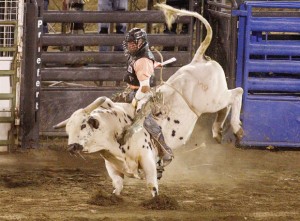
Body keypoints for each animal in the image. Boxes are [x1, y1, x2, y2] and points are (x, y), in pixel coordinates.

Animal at [53, 3, 244, 197]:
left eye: (84, 125)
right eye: (68, 129)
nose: (72, 147)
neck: (114, 128)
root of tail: (198, 60)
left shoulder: (148, 159)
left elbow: (152, 184)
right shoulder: (112, 165)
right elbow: (117, 184)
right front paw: (113, 197)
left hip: (212, 99)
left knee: (237, 92)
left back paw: (236, 129)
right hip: (214, 100)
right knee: (226, 105)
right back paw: (217, 130)